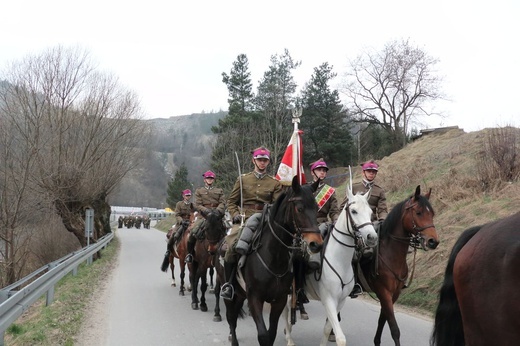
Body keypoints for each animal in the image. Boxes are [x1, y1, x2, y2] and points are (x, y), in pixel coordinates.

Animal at [224, 177, 324, 346]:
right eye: (299, 208)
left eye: (317, 208)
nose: (316, 244)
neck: (273, 257)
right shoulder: (255, 298)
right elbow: (263, 335)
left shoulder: (280, 300)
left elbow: (271, 334)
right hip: (230, 291)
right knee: (231, 317)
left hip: (241, 293)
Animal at [284, 184, 378, 346]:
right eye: (354, 211)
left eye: (370, 212)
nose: (372, 237)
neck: (340, 260)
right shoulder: (329, 300)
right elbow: (340, 338)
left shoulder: (341, 301)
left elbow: (328, 329)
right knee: (285, 313)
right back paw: (289, 338)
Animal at [358, 187, 438, 346]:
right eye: (418, 212)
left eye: (431, 214)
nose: (433, 241)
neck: (390, 255)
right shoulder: (384, 292)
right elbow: (394, 328)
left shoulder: (394, 294)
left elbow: (382, 320)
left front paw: (376, 341)